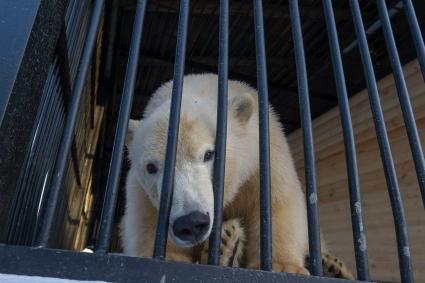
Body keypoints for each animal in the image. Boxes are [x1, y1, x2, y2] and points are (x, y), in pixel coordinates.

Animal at [121, 73, 310, 276]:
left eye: (209, 154)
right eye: (151, 167)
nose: (191, 222)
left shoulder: (264, 158)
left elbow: (278, 202)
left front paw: (283, 266)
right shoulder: (141, 187)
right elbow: (146, 216)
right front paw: (168, 257)